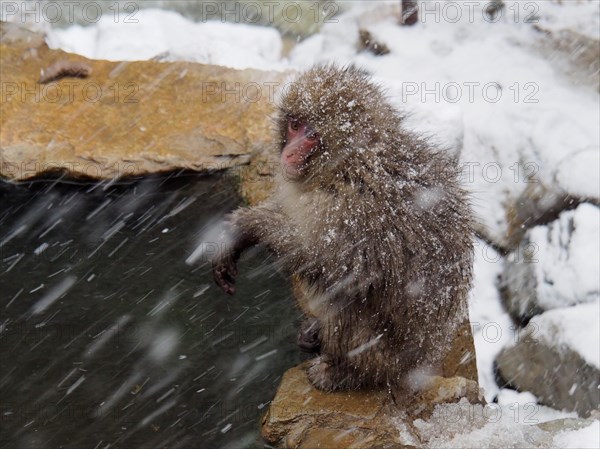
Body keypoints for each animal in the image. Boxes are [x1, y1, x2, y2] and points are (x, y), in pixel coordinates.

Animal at [212, 63, 474, 392]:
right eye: (295, 125)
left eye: (312, 136)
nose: (289, 153)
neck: (345, 166)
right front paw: (237, 233)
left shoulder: (351, 209)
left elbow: (331, 266)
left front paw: (249, 225)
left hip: (385, 356)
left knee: (347, 298)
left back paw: (347, 373)